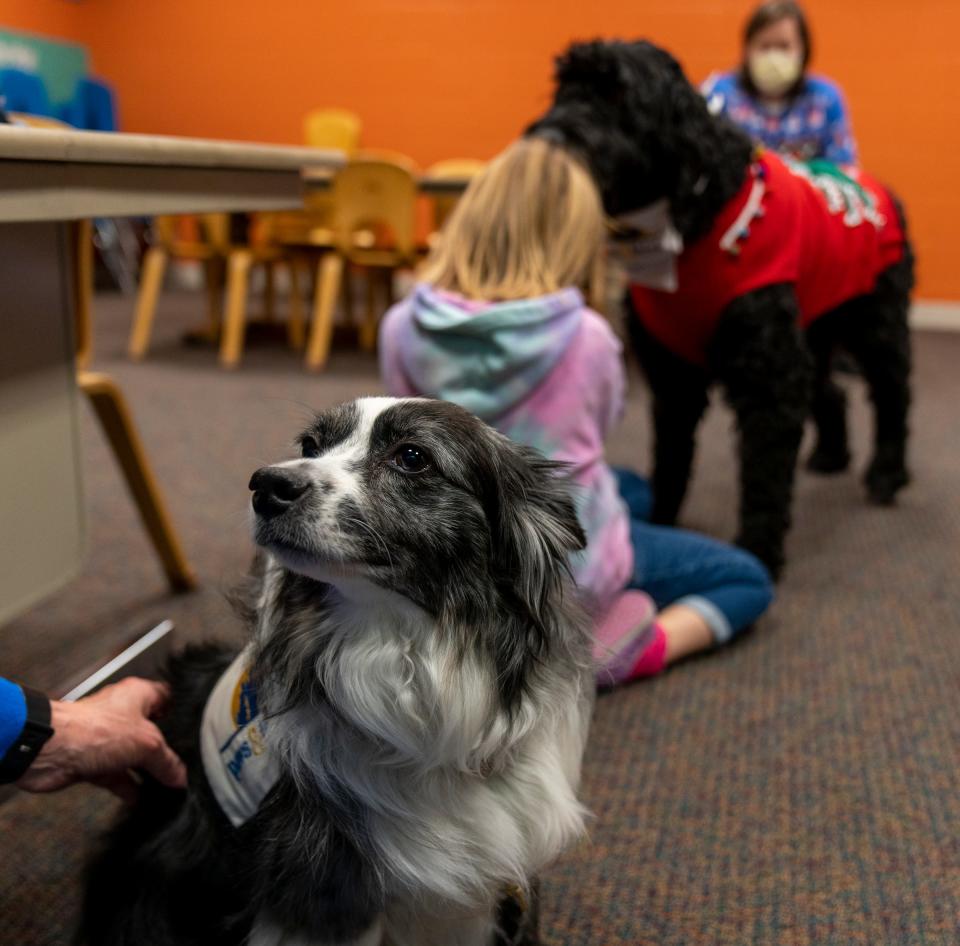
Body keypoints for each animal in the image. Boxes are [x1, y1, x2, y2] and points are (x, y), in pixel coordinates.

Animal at [528, 40, 912, 576]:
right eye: (563, 90)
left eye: (617, 94)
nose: (543, 140)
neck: (693, 226)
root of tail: (878, 185)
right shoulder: (673, 375)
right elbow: (671, 457)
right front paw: (663, 522)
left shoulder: (768, 379)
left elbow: (765, 477)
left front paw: (758, 552)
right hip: (809, 331)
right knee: (830, 389)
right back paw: (831, 456)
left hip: (876, 325)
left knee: (893, 396)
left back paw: (887, 474)